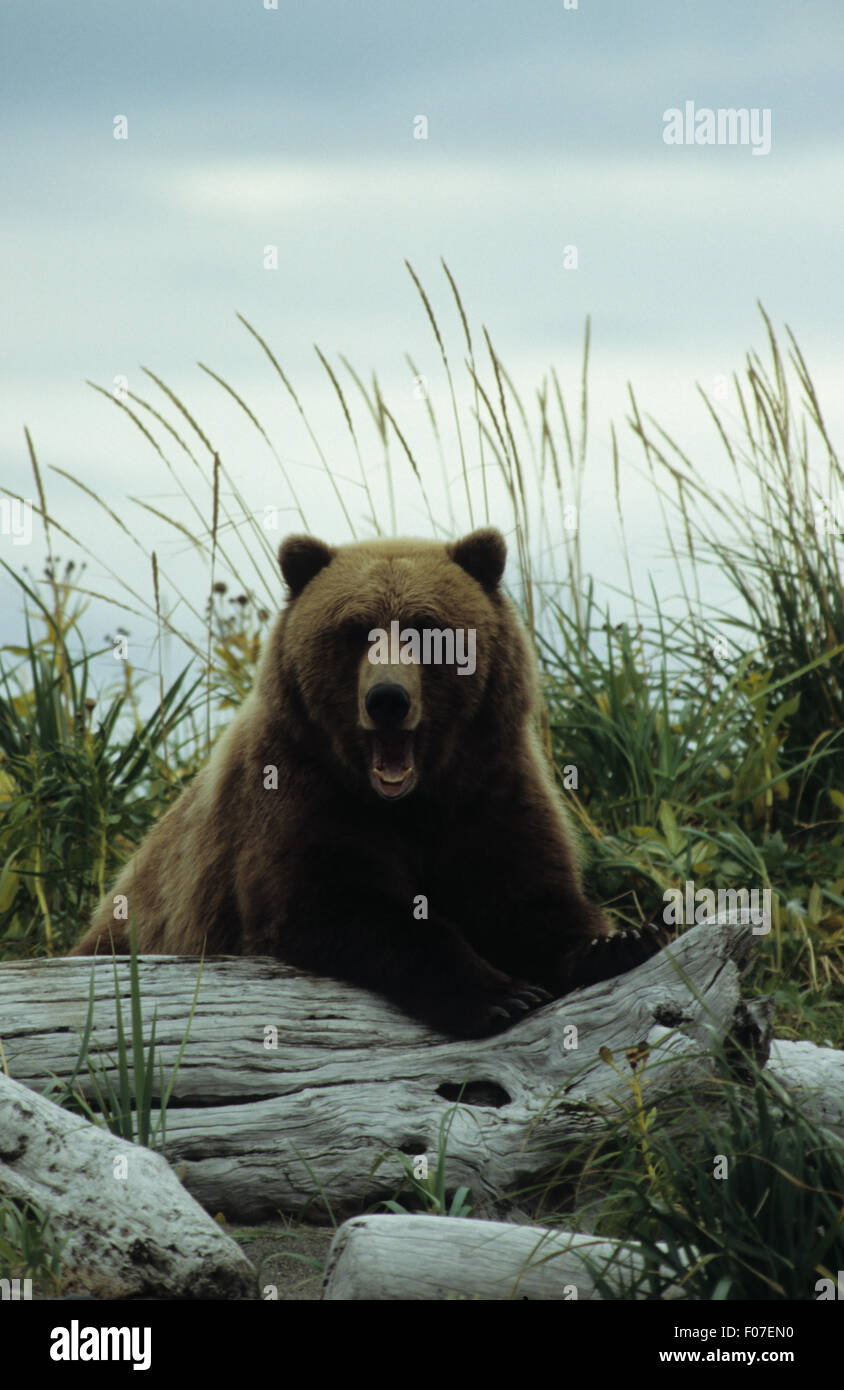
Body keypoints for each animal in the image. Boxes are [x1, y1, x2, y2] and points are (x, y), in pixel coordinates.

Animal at [72, 528, 664, 1034]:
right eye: (356, 630)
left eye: (426, 628)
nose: (387, 699)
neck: (411, 800)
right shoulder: (296, 794)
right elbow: (335, 904)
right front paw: (501, 994)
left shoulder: (492, 786)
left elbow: (529, 894)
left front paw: (622, 942)